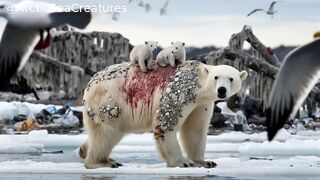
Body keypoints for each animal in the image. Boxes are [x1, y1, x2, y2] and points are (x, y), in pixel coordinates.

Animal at [80, 61, 248, 169]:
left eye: (231, 79)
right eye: (216, 77)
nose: (221, 90)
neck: (197, 85)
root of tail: (91, 82)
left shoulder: (202, 103)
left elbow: (195, 130)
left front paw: (205, 162)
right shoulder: (179, 91)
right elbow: (166, 123)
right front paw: (183, 162)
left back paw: (84, 150)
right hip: (110, 100)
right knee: (106, 132)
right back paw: (102, 162)